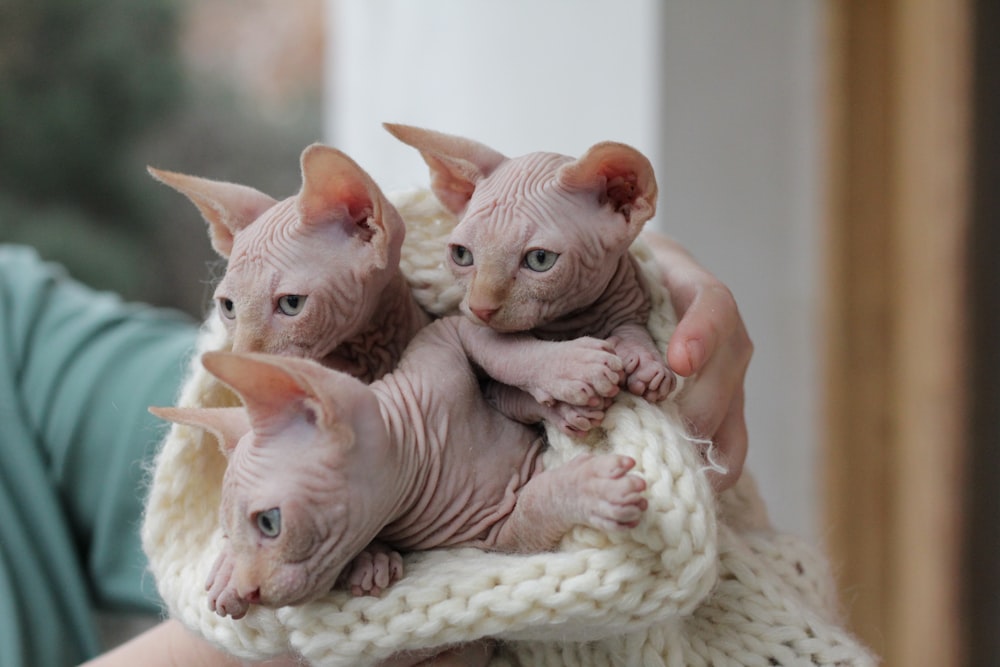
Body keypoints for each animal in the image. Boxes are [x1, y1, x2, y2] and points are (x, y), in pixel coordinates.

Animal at [151, 316, 644, 624]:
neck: (425, 454)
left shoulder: (442, 338)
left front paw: (568, 367)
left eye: (269, 523)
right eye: (228, 534)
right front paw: (594, 487)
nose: (251, 590)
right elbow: (539, 502)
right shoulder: (494, 532)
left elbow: (500, 347)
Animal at [386, 124, 676, 438]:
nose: (480, 308)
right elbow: (506, 352)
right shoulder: (473, 341)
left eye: (540, 259)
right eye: (462, 255)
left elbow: (632, 327)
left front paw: (646, 361)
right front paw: (573, 371)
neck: (572, 321)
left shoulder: (631, 294)